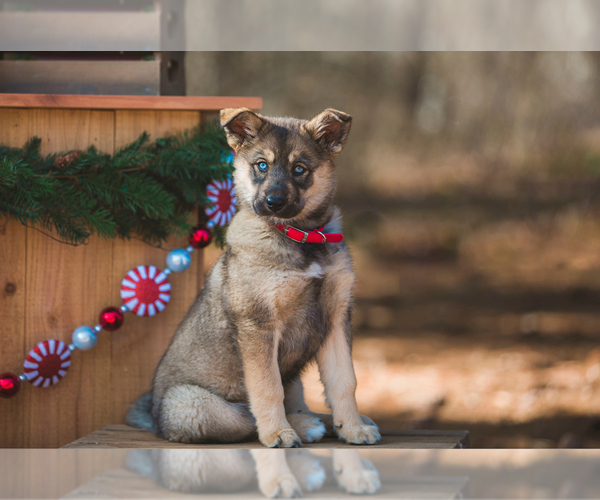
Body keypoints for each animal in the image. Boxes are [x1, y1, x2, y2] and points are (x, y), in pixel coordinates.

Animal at [126, 108, 380, 450]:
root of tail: (154, 420)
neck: (300, 236)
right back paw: (301, 426)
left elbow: (345, 381)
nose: (273, 202)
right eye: (261, 165)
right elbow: (267, 387)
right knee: (243, 418)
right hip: (191, 404)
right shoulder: (258, 324)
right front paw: (278, 433)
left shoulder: (337, 317)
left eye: (299, 169)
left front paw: (352, 428)